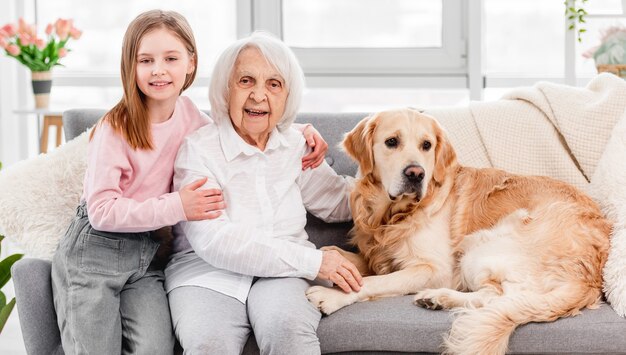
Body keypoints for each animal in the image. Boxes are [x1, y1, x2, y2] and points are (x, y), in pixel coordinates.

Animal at [308, 108, 608, 355]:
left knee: (501, 296)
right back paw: (437, 299)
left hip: (480, 248)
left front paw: (332, 295)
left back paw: (439, 297)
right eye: (391, 142)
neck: (395, 214)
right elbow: (356, 260)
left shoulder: (435, 269)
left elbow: (374, 281)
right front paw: (333, 257)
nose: (416, 173)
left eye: (427, 145)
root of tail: (590, 278)